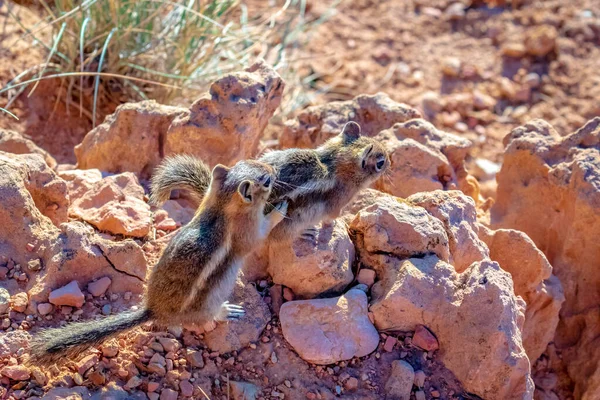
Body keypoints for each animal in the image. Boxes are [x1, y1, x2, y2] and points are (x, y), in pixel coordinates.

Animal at [29, 159, 288, 362]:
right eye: (266, 180)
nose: (274, 170)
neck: (223, 206)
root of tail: (153, 310)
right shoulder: (248, 231)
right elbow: (261, 233)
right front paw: (280, 208)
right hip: (208, 305)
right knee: (206, 319)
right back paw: (227, 311)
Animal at [151, 121, 390, 241]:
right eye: (380, 162)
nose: (390, 162)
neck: (335, 162)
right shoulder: (337, 202)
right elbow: (331, 219)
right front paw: (334, 227)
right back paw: (303, 234)